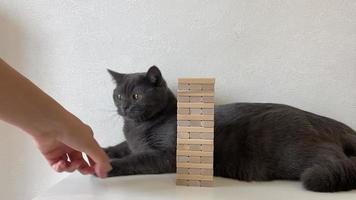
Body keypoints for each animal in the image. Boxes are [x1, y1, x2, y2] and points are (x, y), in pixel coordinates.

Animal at [104, 66, 356, 193]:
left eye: (136, 96)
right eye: (118, 96)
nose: (123, 107)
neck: (137, 127)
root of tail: (321, 119)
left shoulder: (167, 155)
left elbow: (136, 159)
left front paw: (109, 166)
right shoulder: (131, 142)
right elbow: (122, 146)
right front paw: (105, 151)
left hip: (296, 152)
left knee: (337, 159)